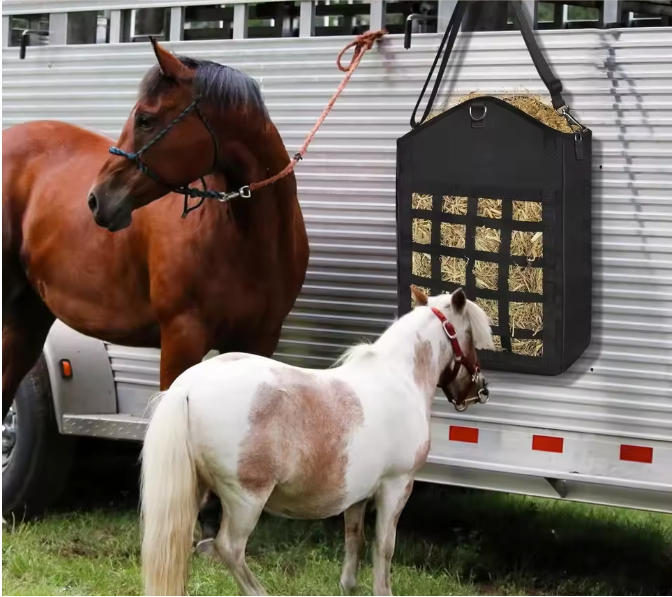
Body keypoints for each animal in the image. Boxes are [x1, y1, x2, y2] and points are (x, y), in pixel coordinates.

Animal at [1, 38, 309, 538]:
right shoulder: (181, 336)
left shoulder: (259, 340)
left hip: (27, 315)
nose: (97, 200)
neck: (242, 235)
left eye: (146, 118)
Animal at [140, 286, 494, 596]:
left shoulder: (357, 495)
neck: (400, 378)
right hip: (246, 499)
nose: (479, 390)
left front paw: (350, 587)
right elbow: (384, 546)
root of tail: (188, 386)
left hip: (195, 490)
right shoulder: (396, 485)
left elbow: (355, 540)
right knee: (229, 548)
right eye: (470, 338)